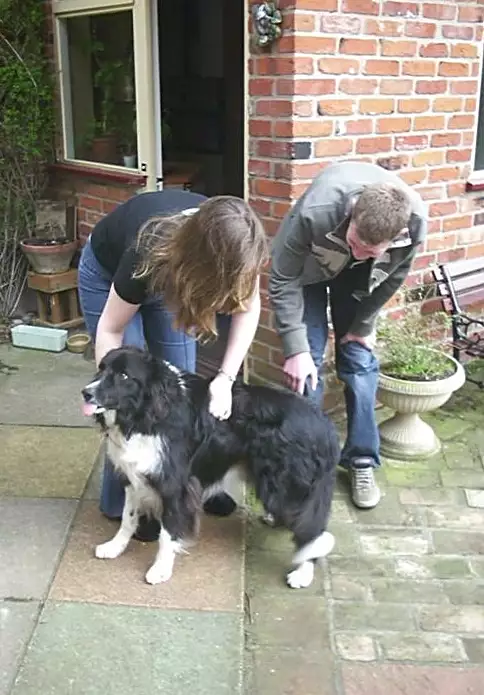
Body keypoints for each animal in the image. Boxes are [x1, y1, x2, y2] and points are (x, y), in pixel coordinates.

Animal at [82, 346, 340, 588]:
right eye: (101, 368)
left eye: (124, 375)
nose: (86, 393)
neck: (145, 416)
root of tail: (325, 425)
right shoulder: (133, 476)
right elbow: (128, 517)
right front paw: (114, 547)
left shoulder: (176, 485)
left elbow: (168, 532)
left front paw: (161, 570)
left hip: (285, 484)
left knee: (311, 528)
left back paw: (303, 573)